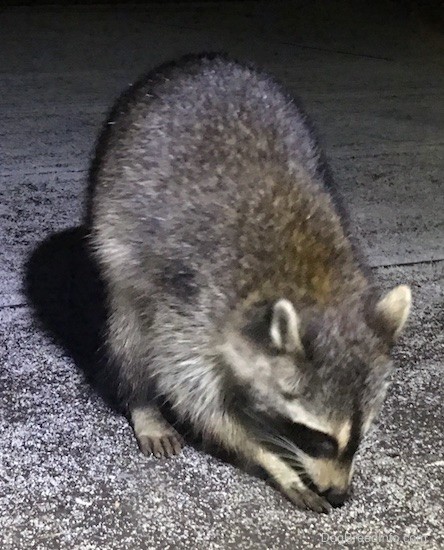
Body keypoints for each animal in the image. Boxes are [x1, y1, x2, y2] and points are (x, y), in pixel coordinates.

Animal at [88, 54, 412, 516]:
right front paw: (272, 460)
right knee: (130, 329)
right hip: (114, 223)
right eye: (317, 436)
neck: (315, 284)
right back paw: (142, 403)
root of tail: (197, 61)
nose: (339, 494)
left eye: (362, 432)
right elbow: (197, 400)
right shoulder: (191, 308)